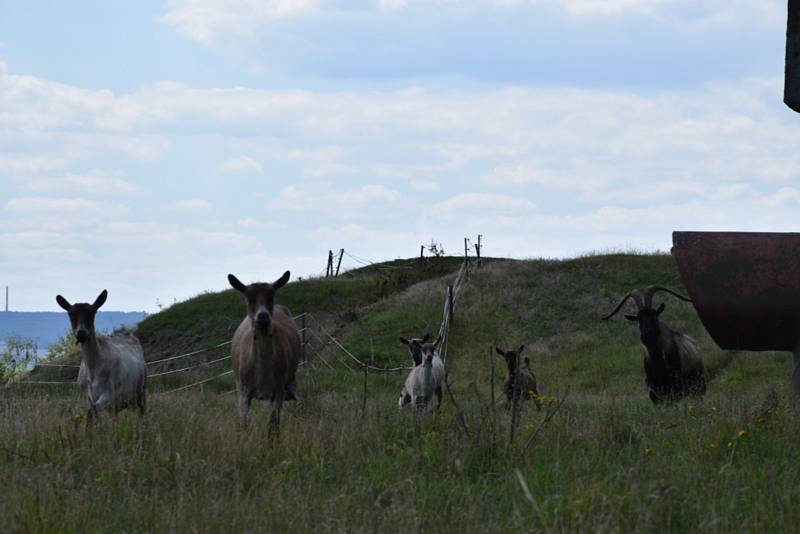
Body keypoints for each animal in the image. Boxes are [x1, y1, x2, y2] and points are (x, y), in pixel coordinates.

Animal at [56, 292, 147, 420]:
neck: (93, 369)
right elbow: (93, 413)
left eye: (92, 313)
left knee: (142, 409)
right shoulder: (88, 396)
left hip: (140, 388)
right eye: (71, 314)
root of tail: (130, 336)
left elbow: (92, 411)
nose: (81, 333)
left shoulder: (109, 392)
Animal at [228, 272, 300, 440]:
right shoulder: (244, 391)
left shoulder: (278, 390)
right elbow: (244, 424)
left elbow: (272, 426)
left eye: (271, 296)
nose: (263, 317)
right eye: (248, 297)